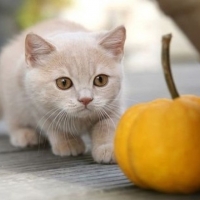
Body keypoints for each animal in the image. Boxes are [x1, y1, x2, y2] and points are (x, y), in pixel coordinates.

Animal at [0, 18, 126, 163]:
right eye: (63, 83)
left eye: (101, 80)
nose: (85, 99)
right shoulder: (33, 103)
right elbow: (53, 125)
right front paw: (68, 142)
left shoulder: (116, 103)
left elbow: (107, 125)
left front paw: (107, 147)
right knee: (12, 119)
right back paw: (24, 134)